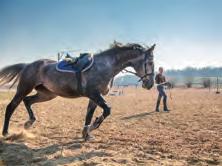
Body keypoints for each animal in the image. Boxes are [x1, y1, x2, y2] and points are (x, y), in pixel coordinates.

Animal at [0, 42, 155, 140]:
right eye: (150, 63)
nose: (150, 84)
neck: (105, 66)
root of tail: (28, 65)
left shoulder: (94, 97)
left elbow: (89, 114)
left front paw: (86, 133)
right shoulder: (94, 94)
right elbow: (107, 110)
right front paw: (93, 126)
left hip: (47, 94)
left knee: (28, 101)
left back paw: (29, 123)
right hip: (24, 88)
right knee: (11, 106)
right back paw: (6, 132)